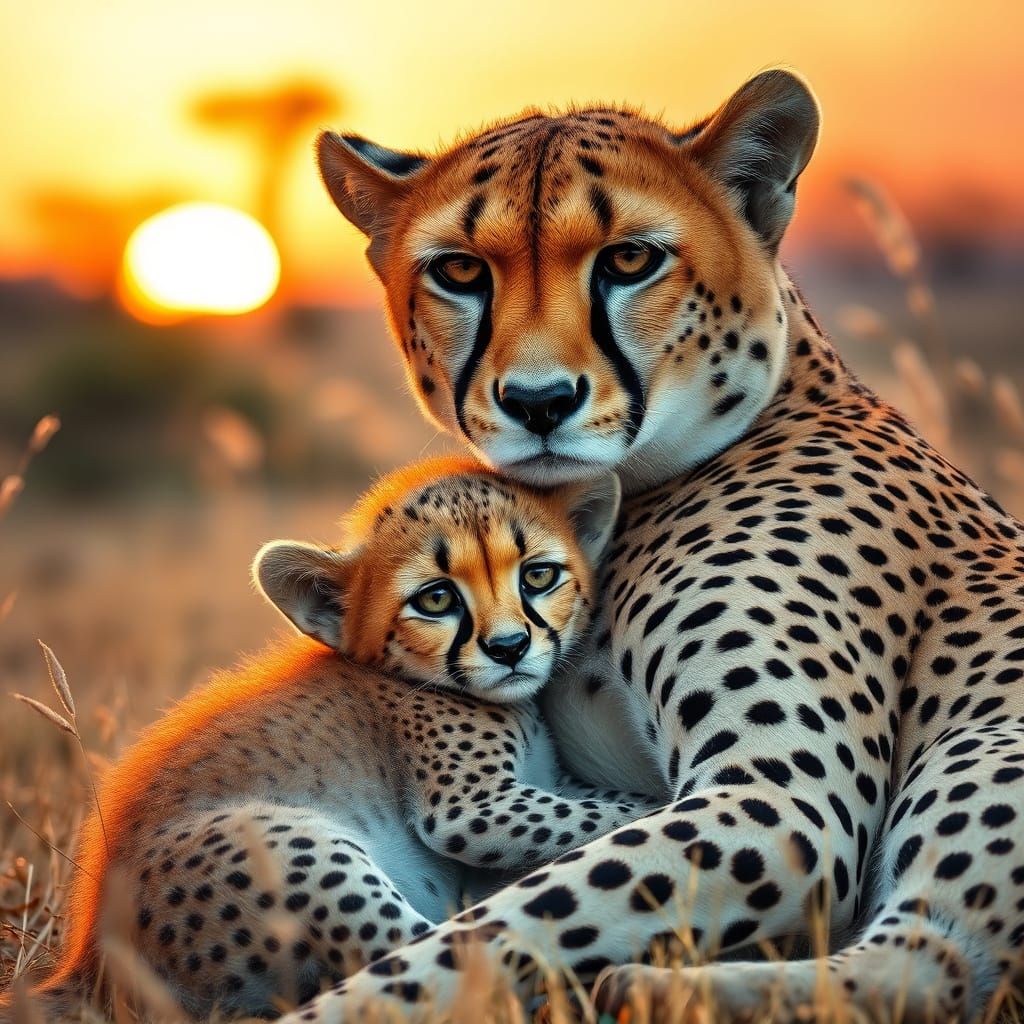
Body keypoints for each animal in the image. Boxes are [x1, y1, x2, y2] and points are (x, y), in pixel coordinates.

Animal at [10, 458, 647, 1019]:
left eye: (538, 575)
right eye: (436, 598)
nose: (510, 648)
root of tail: (86, 964)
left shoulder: (533, 787)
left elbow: (596, 799)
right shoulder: (471, 810)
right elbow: (613, 812)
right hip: (285, 843)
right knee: (439, 962)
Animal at [267, 68, 1024, 1023]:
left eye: (630, 261)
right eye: (460, 271)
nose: (539, 401)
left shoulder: (782, 806)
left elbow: (487, 936)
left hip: (985, 743)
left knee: (924, 965)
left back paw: (646, 986)